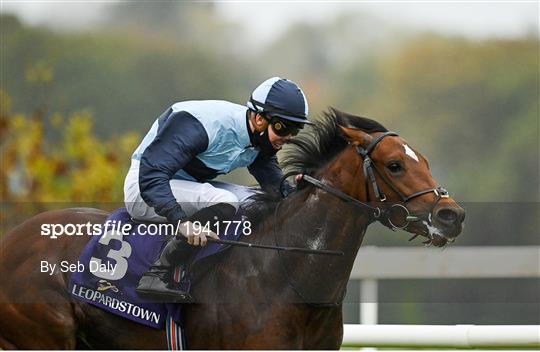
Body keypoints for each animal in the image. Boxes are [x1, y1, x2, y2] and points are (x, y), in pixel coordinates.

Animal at [0, 109, 464, 350]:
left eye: (423, 159)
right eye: (395, 164)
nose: (451, 215)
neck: (287, 278)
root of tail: (12, 240)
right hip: (44, 334)